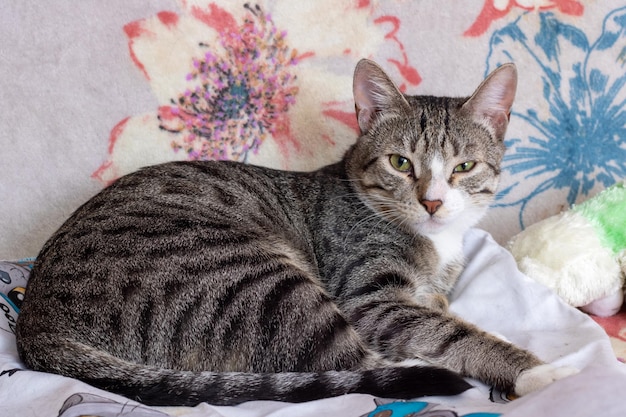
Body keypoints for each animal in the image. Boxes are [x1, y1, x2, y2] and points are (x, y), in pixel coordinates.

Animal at [13, 57, 576, 404]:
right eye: (400, 163)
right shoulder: (370, 299)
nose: (433, 201)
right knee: (358, 366)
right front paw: (533, 370)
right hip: (258, 281)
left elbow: (438, 310)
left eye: (463, 167)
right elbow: (446, 333)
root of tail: (36, 321)